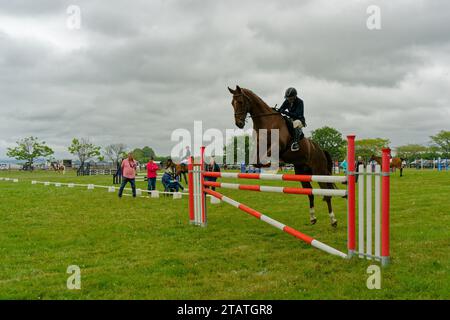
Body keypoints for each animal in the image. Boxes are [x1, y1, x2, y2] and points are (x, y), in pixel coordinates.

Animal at [230, 85, 340, 228]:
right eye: (232, 103)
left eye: (241, 102)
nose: (239, 123)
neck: (266, 121)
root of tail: (320, 149)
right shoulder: (259, 146)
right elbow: (256, 162)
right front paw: (269, 165)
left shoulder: (278, 146)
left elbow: (266, 157)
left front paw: (275, 163)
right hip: (302, 173)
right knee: (310, 193)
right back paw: (313, 218)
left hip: (318, 171)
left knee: (326, 194)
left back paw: (333, 220)